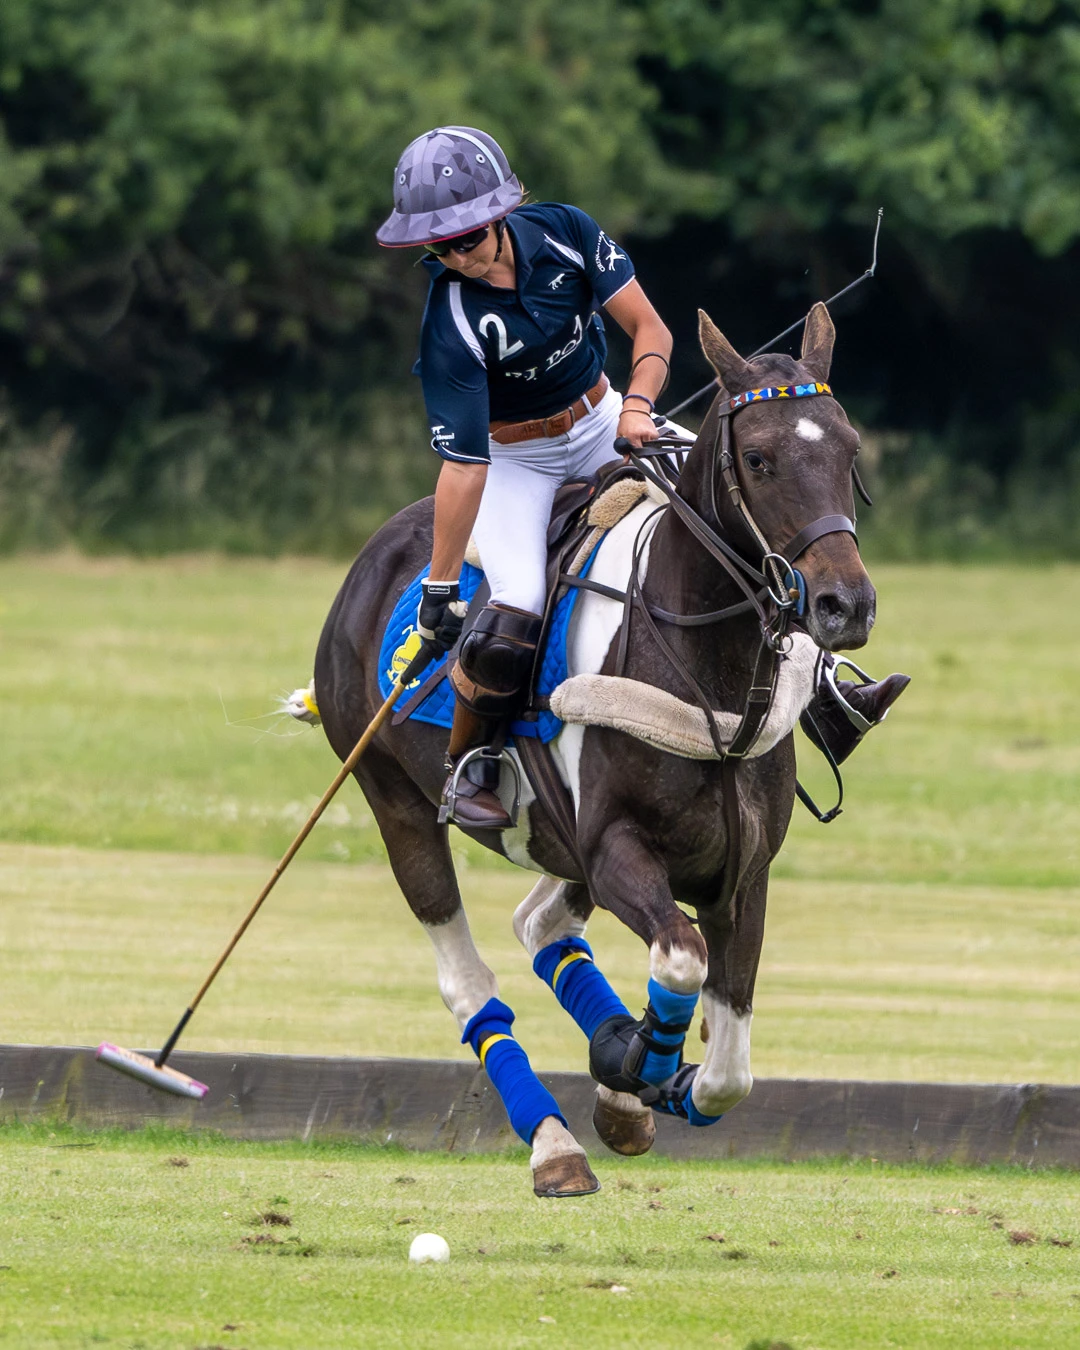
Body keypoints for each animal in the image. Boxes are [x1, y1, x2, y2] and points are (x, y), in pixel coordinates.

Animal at [310, 303, 869, 1193]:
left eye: (848, 449)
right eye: (759, 458)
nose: (847, 605)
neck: (710, 677)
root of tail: (377, 552)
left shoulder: (742, 874)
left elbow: (727, 1071)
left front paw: (638, 1082)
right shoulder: (614, 851)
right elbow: (681, 960)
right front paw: (636, 1064)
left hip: (555, 839)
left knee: (540, 925)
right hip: (394, 797)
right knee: (469, 984)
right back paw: (555, 1147)